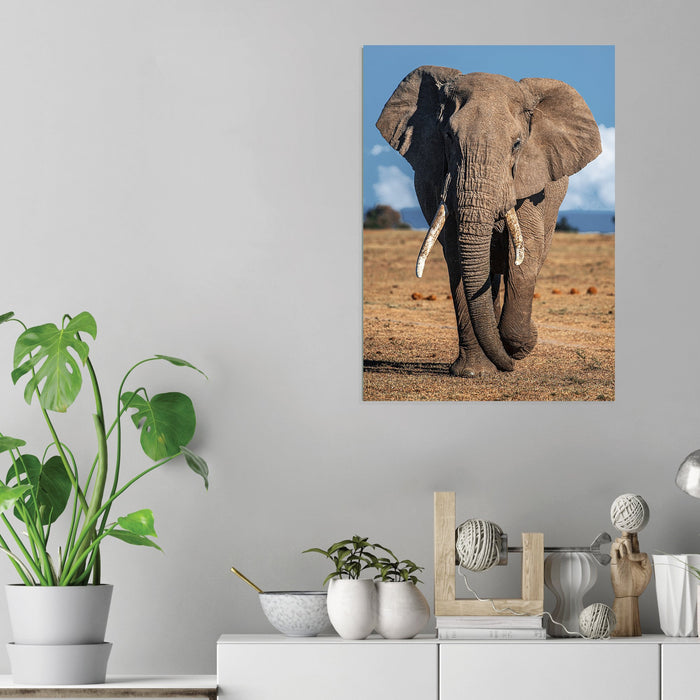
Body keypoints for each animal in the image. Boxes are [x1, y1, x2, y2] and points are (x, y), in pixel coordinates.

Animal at [376, 67, 601, 377]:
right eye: (448, 136)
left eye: (517, 144)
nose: (510, 364)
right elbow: (459, 259)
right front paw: (475, 371)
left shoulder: (529, 185)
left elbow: (525, 257)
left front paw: (517, 346)